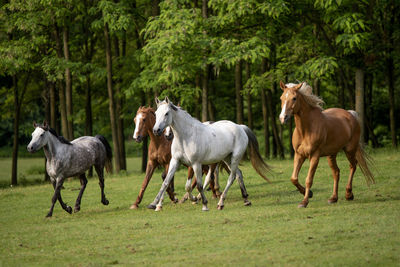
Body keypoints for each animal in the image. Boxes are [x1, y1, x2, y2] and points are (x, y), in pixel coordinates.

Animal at [278, 81, 376, 209]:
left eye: (294, 98)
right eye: (281, 98)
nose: (283, 118)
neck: (306, 129)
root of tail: (350, 114)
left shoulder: (314, 156)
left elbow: (309, 179)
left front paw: (304, 202)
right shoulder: (299, 155)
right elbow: (293, 178)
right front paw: (309, 193)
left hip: (350, 150)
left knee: (353, 166)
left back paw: (348, 194)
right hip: (331, 155)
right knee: (336, 172)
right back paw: (333, 198)